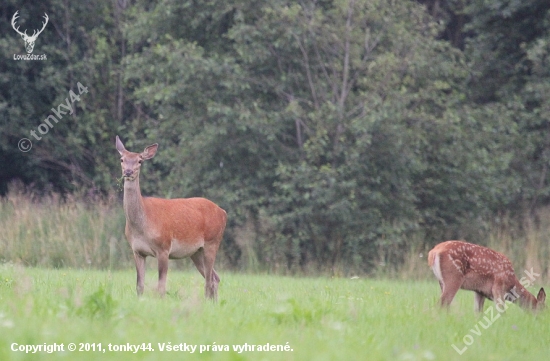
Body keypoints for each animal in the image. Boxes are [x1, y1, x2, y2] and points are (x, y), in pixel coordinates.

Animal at [115, 135, 227, 298]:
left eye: (140, 160)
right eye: (122, 159)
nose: (128, 172)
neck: (142, 225)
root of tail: (223, 212)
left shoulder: (164, 247)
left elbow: (161, 286)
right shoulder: (137, 251)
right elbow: (139, 286)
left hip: (212, 241)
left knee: (208, 280)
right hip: (196, 251)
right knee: (214, 277)